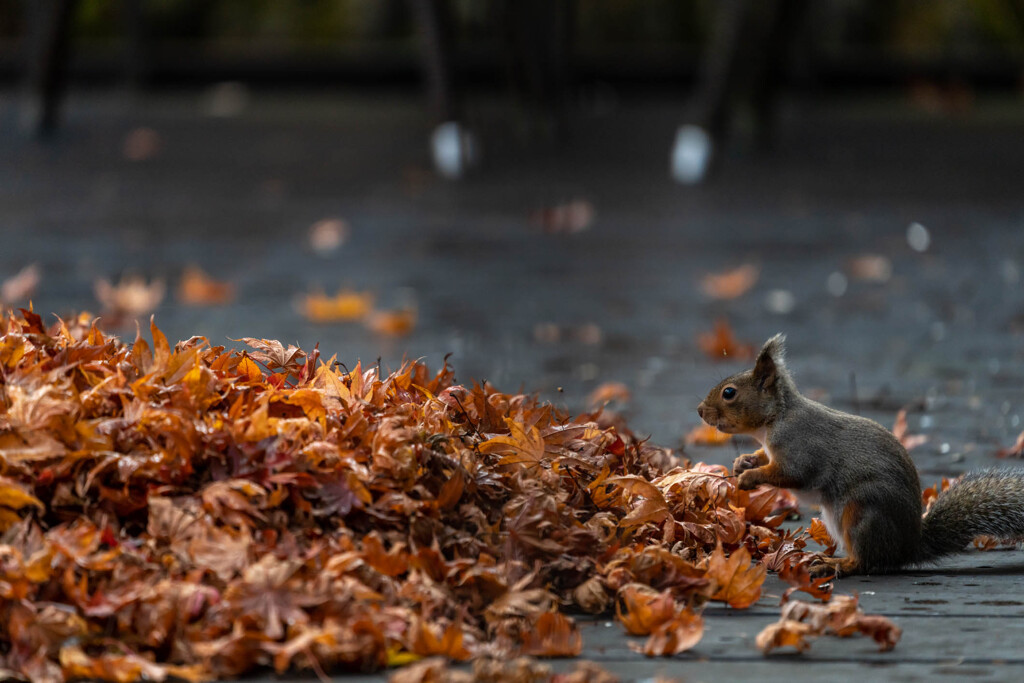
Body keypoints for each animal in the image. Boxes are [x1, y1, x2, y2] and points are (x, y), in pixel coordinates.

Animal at [696, 331, 1024, 577]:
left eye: (729, 393)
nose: (700, 410)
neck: (776, 419)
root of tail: (908, 547)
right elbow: (765, 459)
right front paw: (744, 462)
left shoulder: (800, 446)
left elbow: (790, 473)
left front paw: (750, 477)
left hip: (862, 513)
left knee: (866, 562)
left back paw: (833, 564)